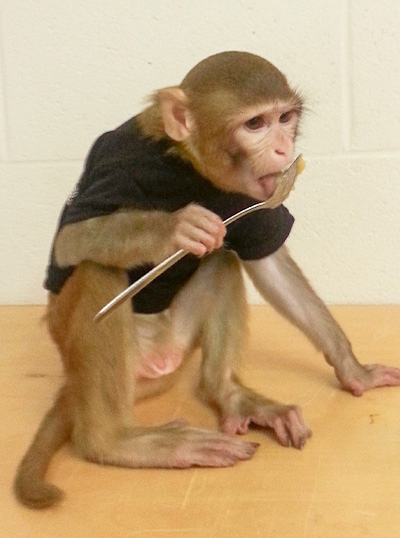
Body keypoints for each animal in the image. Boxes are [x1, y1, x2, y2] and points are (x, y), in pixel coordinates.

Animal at [14, 50, 400, 506]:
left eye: (285, 117)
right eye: (256, 124)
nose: (284, 147)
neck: (188, 163)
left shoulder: (249, 198)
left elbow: (266, 260)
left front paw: (353, 369)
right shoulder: (120, 165)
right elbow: (69, 242)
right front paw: (176, 228)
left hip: (174, 347)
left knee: (222, 260)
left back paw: (229, 393)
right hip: (110, 359)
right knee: (96, 269)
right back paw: (115, 441)